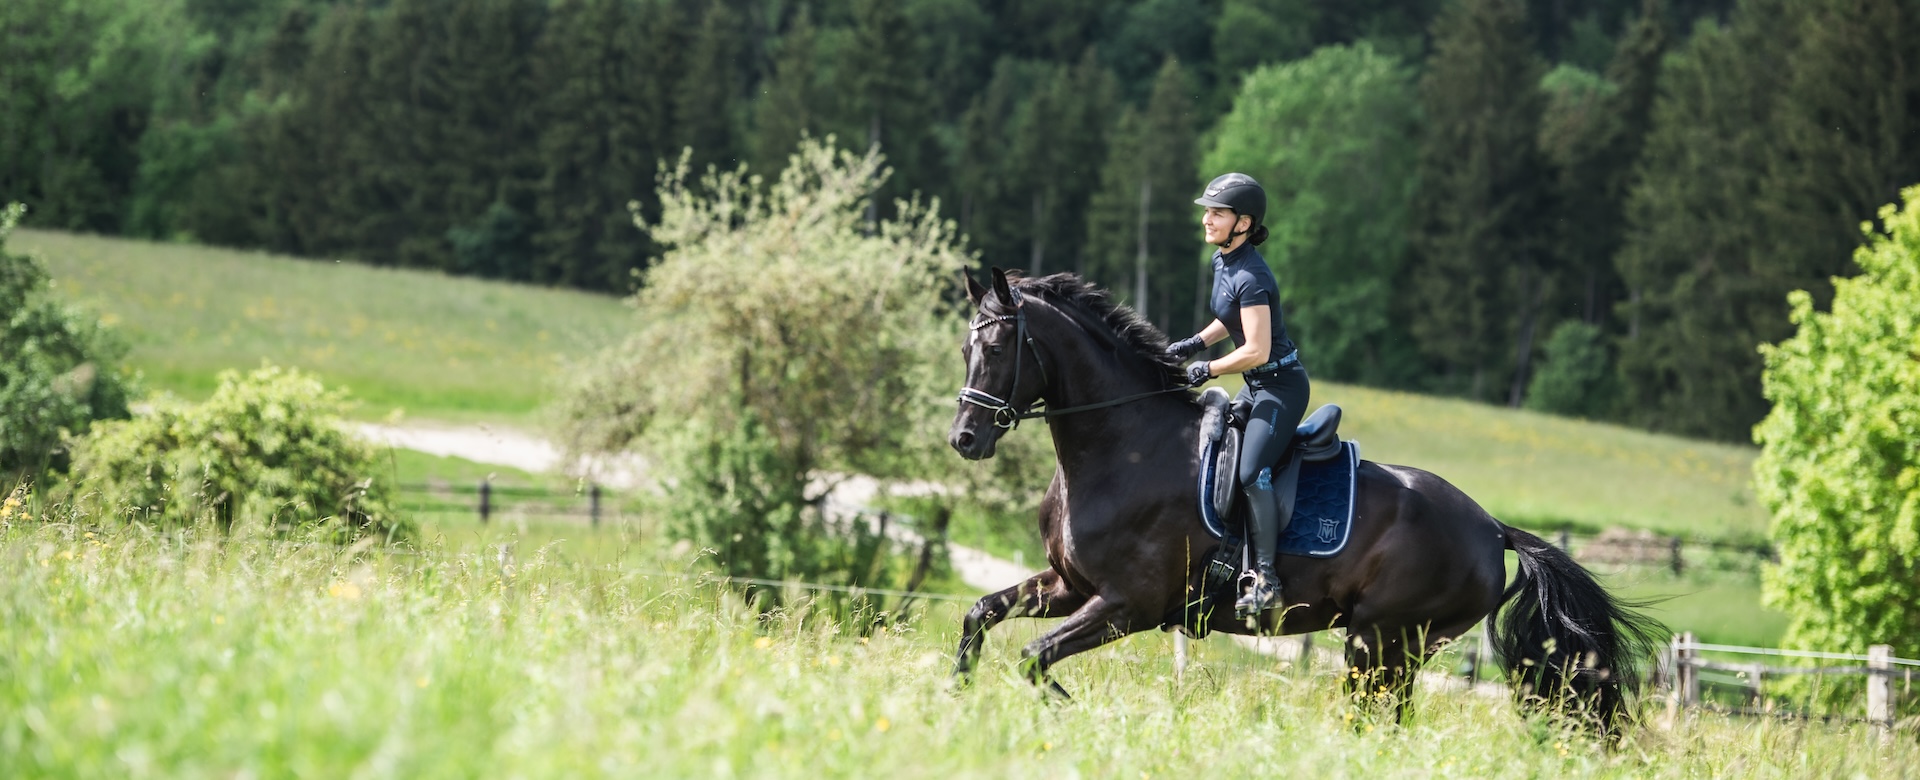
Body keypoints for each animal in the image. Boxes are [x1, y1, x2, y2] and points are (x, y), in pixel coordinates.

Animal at [946, 267, 1664, 732]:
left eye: (1000, 345)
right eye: (964, 345)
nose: (965, 438)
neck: (1124, 447)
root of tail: (1493, 528)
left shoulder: (1128, 605)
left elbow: (1034, 660)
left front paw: (1074, 713)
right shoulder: (1070, 584)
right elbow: (980, 616)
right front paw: (955, 699)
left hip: (1381, 639)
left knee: (1373, 716)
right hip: (1392, 649)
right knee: (1384, 720)